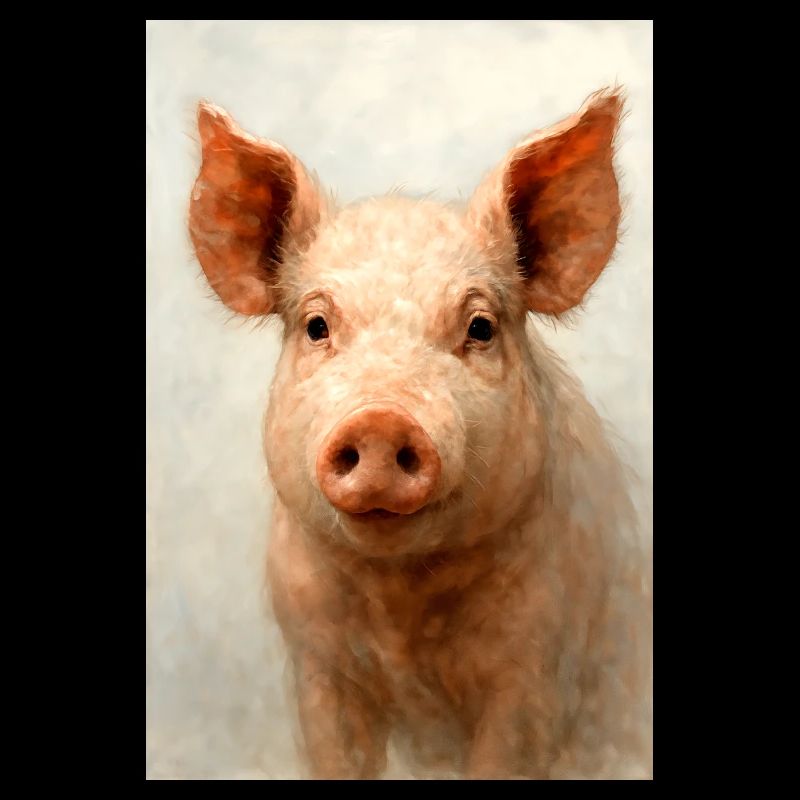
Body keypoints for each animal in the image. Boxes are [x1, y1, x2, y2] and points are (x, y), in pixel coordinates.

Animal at [187, 88, 652, 780]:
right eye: (317, 325)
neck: (403, 611)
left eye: (480, 327)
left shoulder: (539, 664)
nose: (381, 421)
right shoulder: (315, 663)